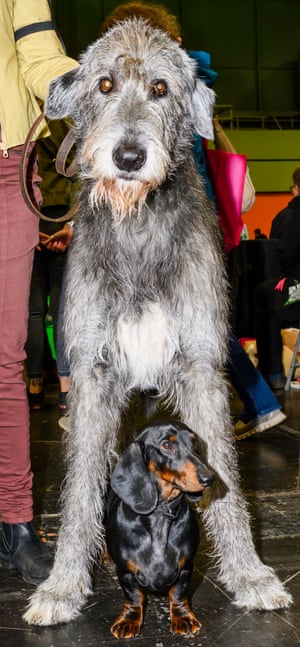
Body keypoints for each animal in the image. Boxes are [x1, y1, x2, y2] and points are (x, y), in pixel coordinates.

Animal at [24, 19, 292, 628]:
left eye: (162, 89)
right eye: (103, 84)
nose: (127, 156)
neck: (139, 223)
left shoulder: (200, 366)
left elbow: (225, 475)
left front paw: (250, 574)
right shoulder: (94, 375)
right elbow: (79, 488)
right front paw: (62, 584)